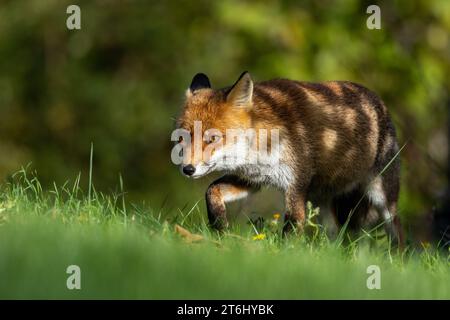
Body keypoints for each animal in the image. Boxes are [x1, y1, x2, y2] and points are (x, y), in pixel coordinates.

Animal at [173, 70, 404, 245]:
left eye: (212, 138)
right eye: (182, 137)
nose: (187, 169)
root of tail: (378, 100)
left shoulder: (295, 185)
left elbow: (290, 232)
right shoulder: (251, 180)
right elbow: (211, 191)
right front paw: (219, 227)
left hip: (383, 197)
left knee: (398, 234)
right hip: (320, 200)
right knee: (335, 237)